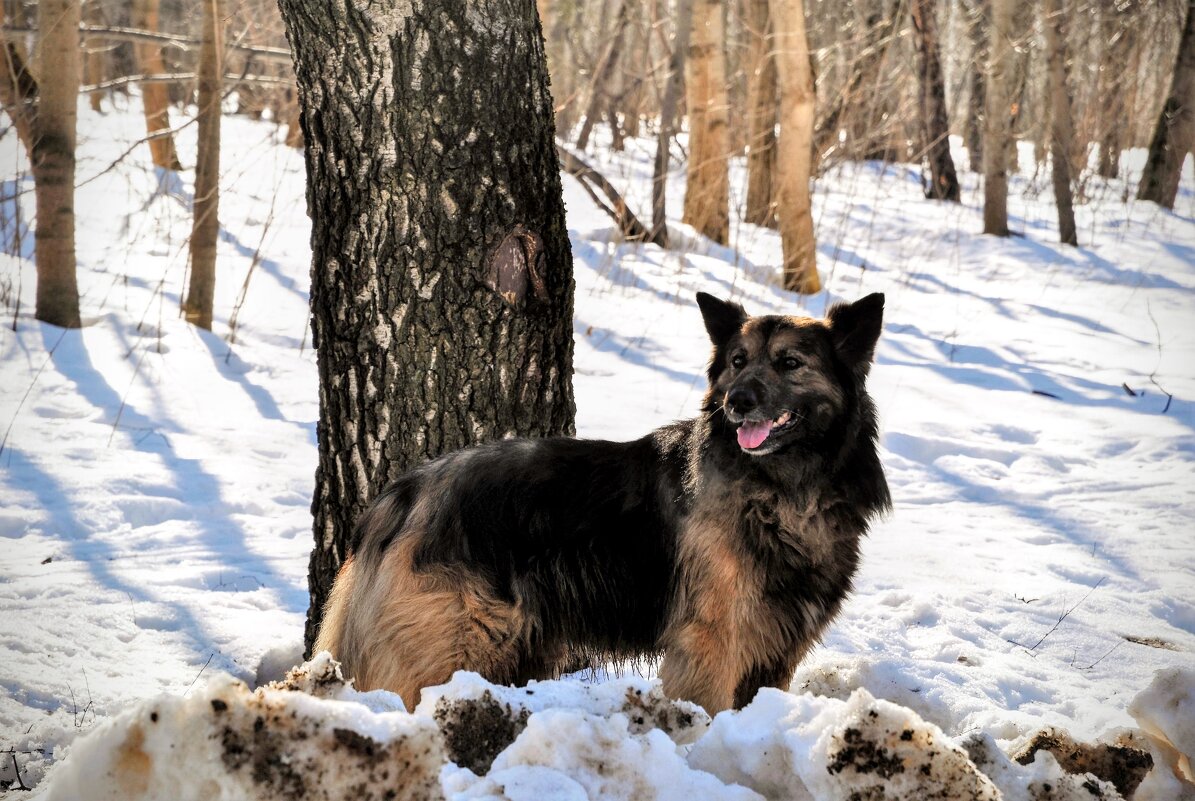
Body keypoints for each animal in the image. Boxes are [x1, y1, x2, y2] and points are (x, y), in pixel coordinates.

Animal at [313, 290, 893, 717]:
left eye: (790, 362)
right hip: (453, 647)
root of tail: (407, 491)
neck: (782, 490)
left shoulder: (775, 650)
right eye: (737, 361)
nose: (737, 402)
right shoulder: (712, 643)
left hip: (515, 651)